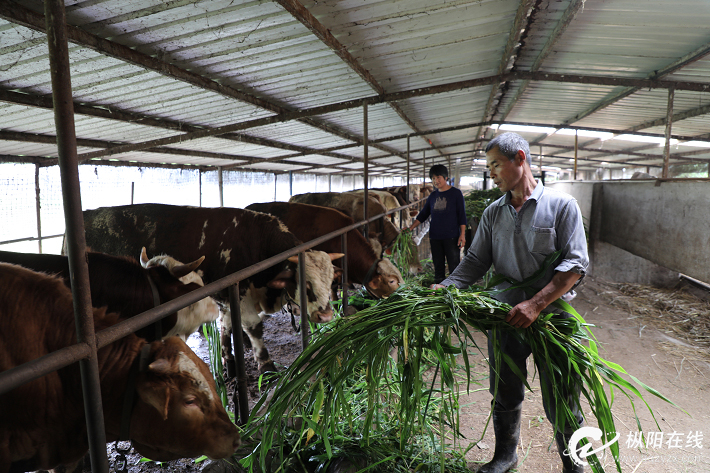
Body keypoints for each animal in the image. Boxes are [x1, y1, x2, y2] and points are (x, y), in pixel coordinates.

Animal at [80, 203, 342, 372]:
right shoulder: (240, 293)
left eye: (330, 281)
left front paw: (228, 359)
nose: (326, 315)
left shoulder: (225, 295)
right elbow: (254, 328)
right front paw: (266, 365)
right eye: (305, 284)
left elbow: (226, 325)